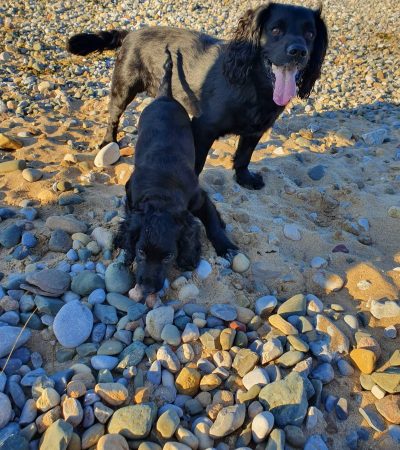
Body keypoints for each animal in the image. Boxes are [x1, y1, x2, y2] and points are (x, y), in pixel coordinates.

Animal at [67, 2, 326, 188]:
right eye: (275, 30)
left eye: (311, 34)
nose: (298, 52)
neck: (254, 85)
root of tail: (131, 33)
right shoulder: (203, 128)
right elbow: (198, 163)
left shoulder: (256, 130)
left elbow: (244, 156)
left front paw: (244, 179)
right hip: (124, 87)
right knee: (114, 116)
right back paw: (108, 142)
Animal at [114, 50, 238, 298]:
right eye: (141, 252)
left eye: (169, 256)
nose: (146, 289)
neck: (161, 192)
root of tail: (165, 97)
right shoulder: (131, 192)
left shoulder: (199, 198)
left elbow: (212, 223)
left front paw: (225, 246)